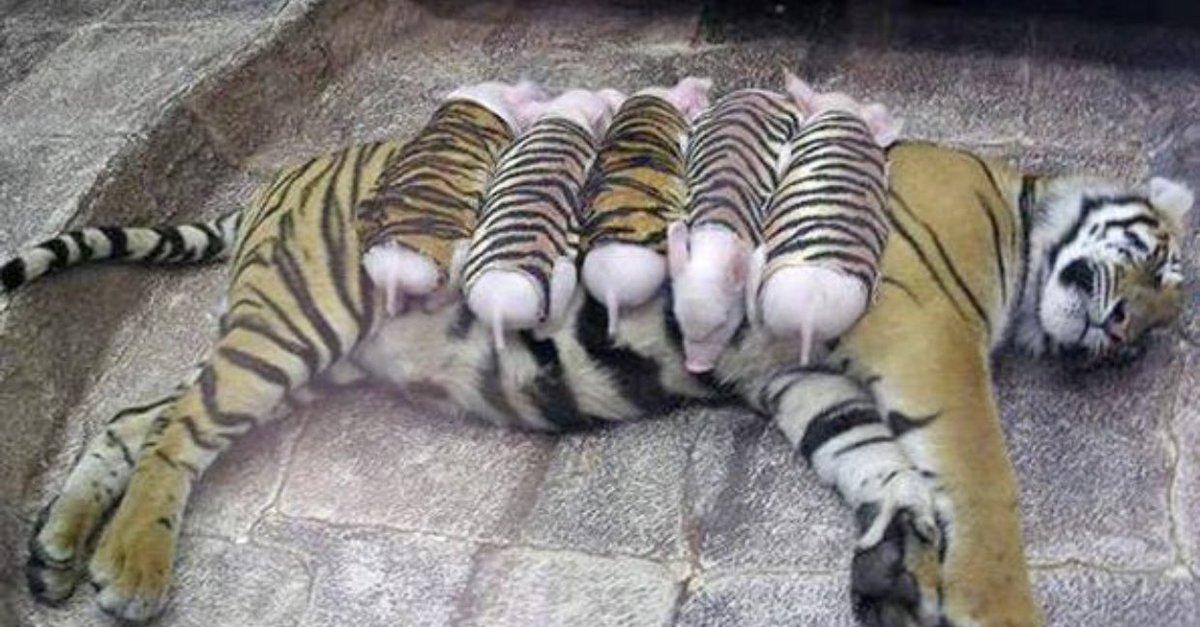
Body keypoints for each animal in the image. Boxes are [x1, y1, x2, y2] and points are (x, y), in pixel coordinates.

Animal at [8, 138, 1191, 626]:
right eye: (1163, 268)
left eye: (1152, 325)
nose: (1121, 334)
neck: (1023, 219)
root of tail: (282, 179)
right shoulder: (927, 334)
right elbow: (982, 480)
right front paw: (991, 602)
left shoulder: (806, 380)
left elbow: (877, 465)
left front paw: (898, 565)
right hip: (300, 319)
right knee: (178, 434)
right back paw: (129, 569)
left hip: (296, 351)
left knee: (140, 415)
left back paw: (59, 551)